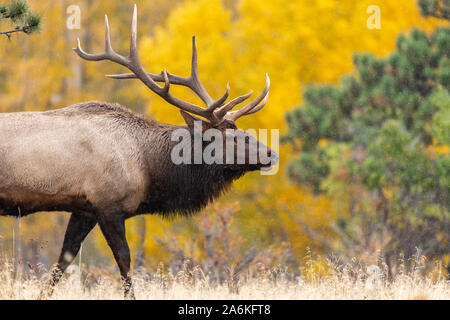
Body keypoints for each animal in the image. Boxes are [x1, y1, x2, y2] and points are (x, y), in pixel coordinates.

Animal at [0, 5, 278, 298]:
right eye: (228, 138)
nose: (271, 153)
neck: (148, 169)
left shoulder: (84, 208)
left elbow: (64, 258)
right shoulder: (108, 204)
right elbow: (124, 259)